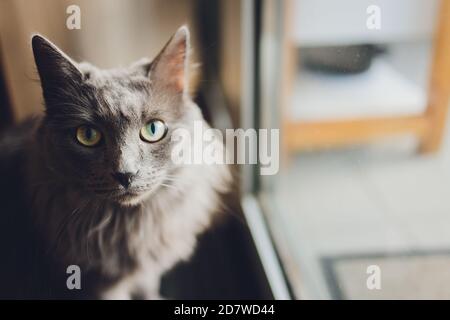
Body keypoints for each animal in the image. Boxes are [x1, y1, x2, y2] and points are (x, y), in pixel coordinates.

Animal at [0, 26, 230, 298]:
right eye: (87, 135)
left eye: (153, 129)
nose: (125, 174)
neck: (126, 226)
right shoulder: (99, 286)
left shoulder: (145, 275)